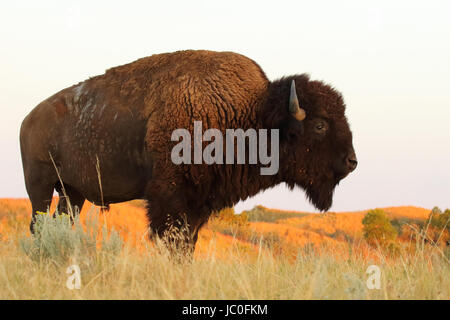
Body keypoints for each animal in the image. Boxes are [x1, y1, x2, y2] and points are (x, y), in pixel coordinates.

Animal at [19, 50, 356, 252]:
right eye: (320, 125)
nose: (352, 162)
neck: (249, 114)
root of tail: (28, 118)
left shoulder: (199, 202)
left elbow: (188, 242)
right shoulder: (169, 198)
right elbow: (174, 242)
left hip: (72, 194)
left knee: (61, 223)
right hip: (40, 187)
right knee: (38, 224)